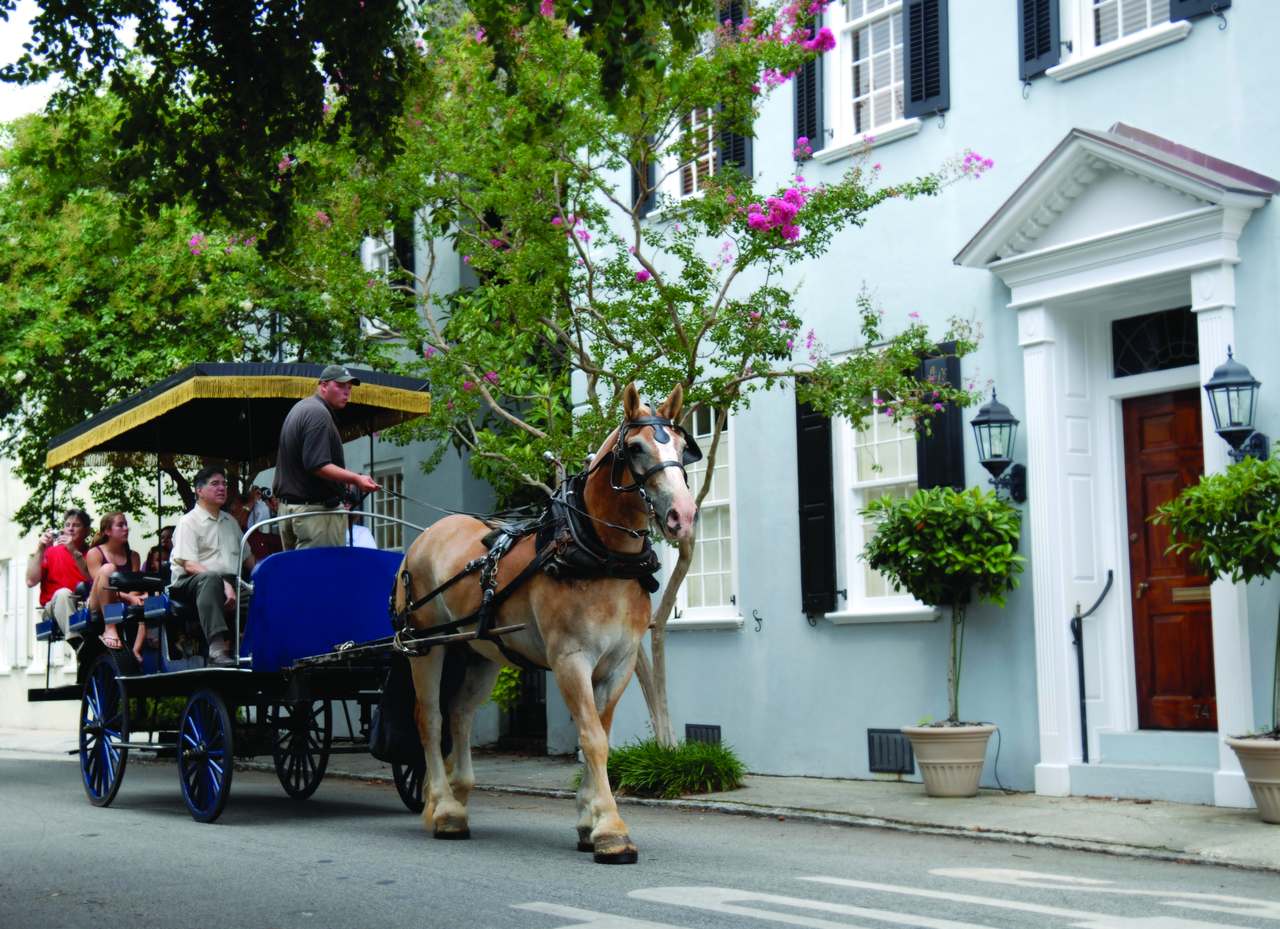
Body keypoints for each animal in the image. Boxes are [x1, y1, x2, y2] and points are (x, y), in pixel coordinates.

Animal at [396, 381, 701, 859]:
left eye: (684, 448)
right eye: (635, 448)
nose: (682, 515)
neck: (599, 554)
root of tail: (424, 537)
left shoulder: (620, 663)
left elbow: (600, 734)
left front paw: (588, 820)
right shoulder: (570, 660)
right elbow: (591, 737)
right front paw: (611, 829)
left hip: (483, 651)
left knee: (460, 713)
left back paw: (459, 793)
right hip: (426, 646)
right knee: (430, 718)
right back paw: (444, 808)